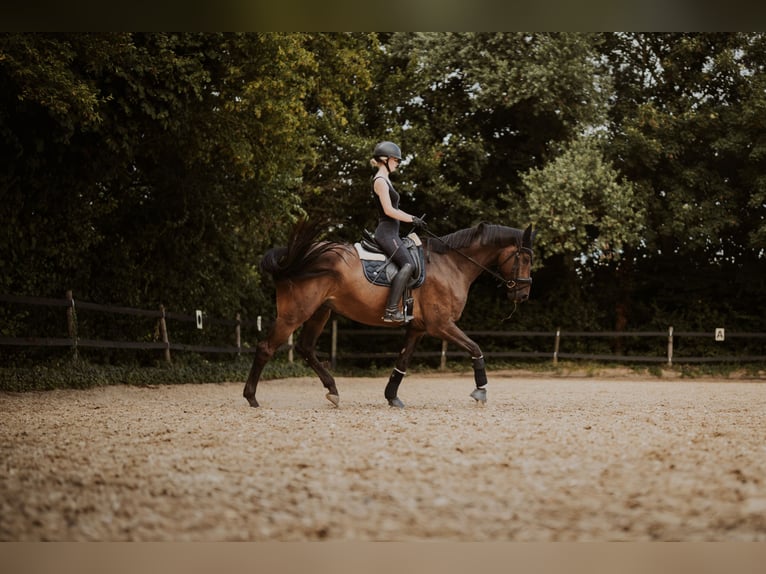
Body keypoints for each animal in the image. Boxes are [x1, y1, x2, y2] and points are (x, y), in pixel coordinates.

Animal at [244, 217, 536, 410]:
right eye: (525, 258)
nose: (522, 295)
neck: (452, 264)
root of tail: (295, 256)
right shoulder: (441, 325)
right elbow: (475, 347)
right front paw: (481, 390)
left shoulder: (418, 328)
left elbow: (402, 361)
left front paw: (391, 396)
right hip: (296, 312)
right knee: (266, 347)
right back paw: (252, 397)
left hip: (320, 311)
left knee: (305, 348)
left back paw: (333, 391)